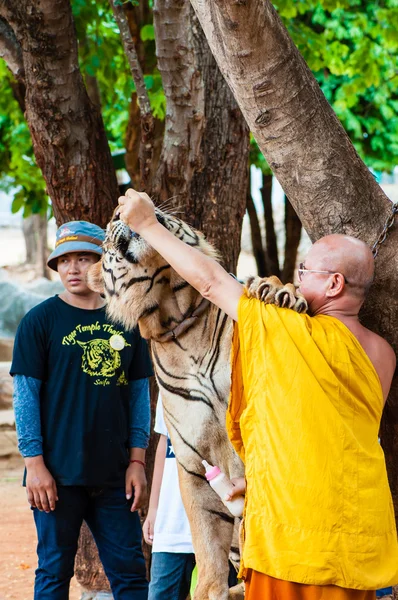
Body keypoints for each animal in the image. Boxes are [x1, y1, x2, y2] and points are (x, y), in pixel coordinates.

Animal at [88, 207, 308, 600]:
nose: (118, 210)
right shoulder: (194, 463)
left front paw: (280, 291)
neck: (175, 314)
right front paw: (209, 590)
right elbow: (205, 544)